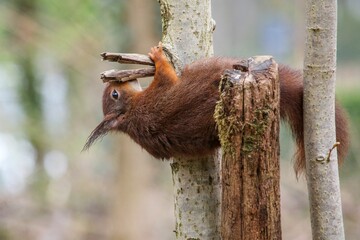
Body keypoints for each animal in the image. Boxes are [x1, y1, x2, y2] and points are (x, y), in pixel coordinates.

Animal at [84, 43, 348, 174]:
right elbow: (166, 74)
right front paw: (159, 56)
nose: (114, 81)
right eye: (115, 94)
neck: (130, 114)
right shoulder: (159, 91)